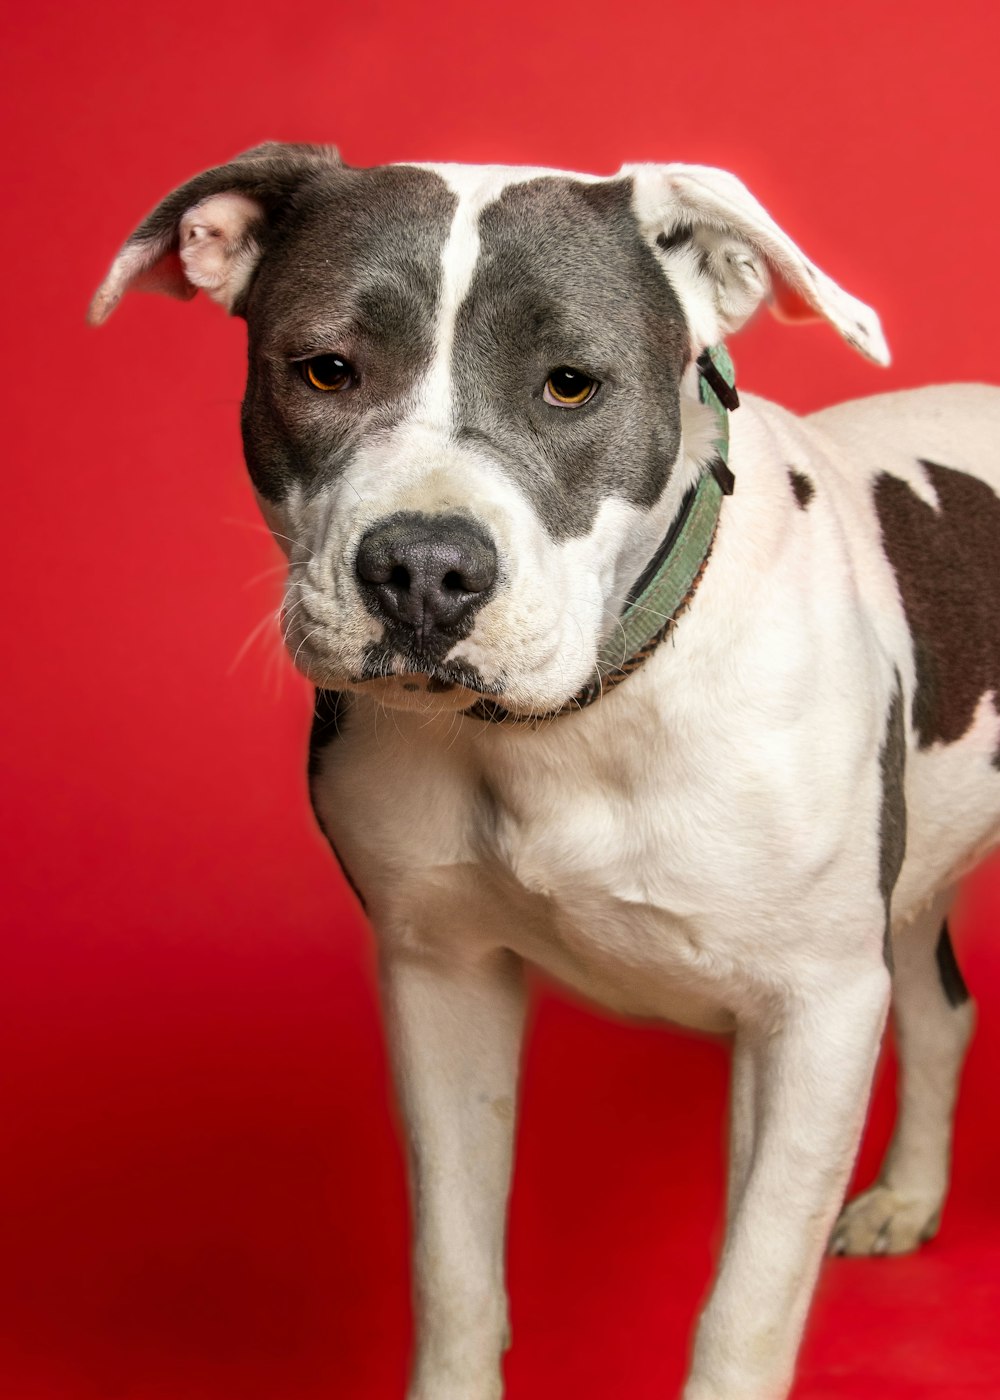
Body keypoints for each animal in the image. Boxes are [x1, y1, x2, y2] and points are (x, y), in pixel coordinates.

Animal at [89, 147, 991, 1394]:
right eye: (326, 370)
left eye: (571, 385)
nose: (422, 566)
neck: (571, 721)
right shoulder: (441, 976)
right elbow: (453, 1261)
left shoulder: (816, 1008)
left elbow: (746, 1304)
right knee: (941, 1009)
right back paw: (907, 1195)